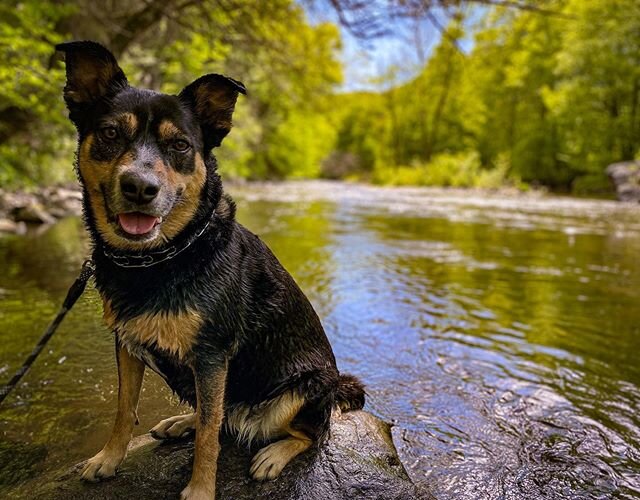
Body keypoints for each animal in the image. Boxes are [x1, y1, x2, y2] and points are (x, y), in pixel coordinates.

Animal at [56, 41, 364, 498]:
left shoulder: (211, 354)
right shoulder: (127, 342)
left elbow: (208, 435)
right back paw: (181, 421)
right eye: (111, 133)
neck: (162, 257)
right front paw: (108, 459)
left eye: (181, 145)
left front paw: (200, 490)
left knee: (307, 432)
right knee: (219, 414)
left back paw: (273, 454)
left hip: (296, 391)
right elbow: (125, 409)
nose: (140, 188)